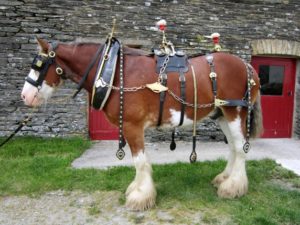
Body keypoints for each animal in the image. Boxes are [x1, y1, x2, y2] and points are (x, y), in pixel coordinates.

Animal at [21, 38, 262, 211]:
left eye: (38, 65)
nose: (25, 96)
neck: (115, 72)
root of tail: (247, 66)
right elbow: (139, 161)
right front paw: (137, 189)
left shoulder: (132, 126)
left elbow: (140, 161)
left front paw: (141, 196)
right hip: (221, 114)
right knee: (233, 147)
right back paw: (225, 178)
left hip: (234, 112)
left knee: (240, 148)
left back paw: (233, 186)